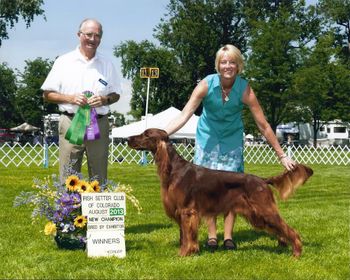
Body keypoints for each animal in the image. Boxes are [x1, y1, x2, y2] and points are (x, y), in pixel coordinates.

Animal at [127, 128, 314, 258]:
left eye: (146, 134)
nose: (127, 138)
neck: (174, 169)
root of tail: (262, 180)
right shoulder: (181, 212)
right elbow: (183, 236)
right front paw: (185, 252)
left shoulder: (187, 211)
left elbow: (187, 237)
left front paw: (185, 254)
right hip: (259, 215)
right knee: (280, 229)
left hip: (265, 210)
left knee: (289, 229)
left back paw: (297, 252)